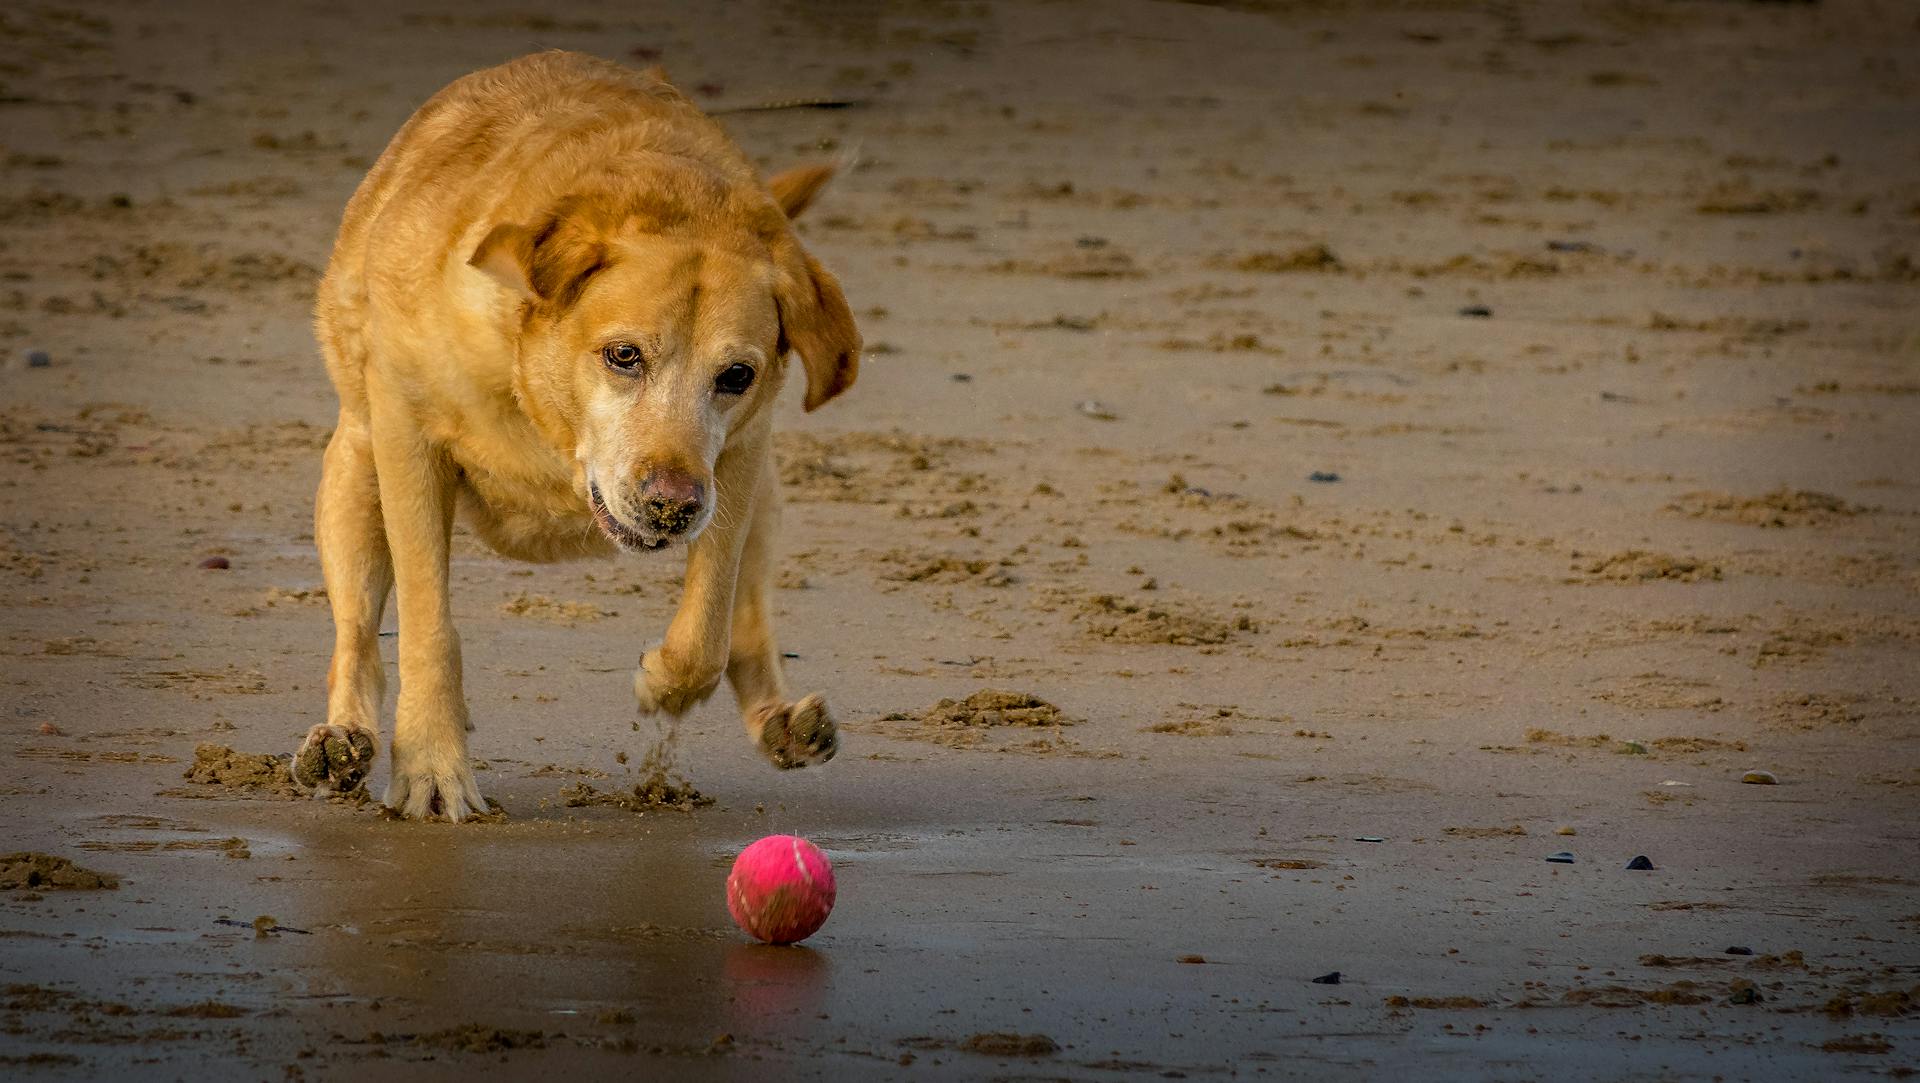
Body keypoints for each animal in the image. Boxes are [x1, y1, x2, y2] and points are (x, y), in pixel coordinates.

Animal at [293, 50, 864, 821]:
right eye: (623, 355)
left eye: (737, 375)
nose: (672, 505)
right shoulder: (408, 445)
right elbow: (426, 627)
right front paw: (434, 766)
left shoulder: (737, 463)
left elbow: (708, 622)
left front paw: (666, 683)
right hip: (355, 472)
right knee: (356, 637)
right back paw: (341, 737)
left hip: (762, 497)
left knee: (746, 618)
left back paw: (780, 719)